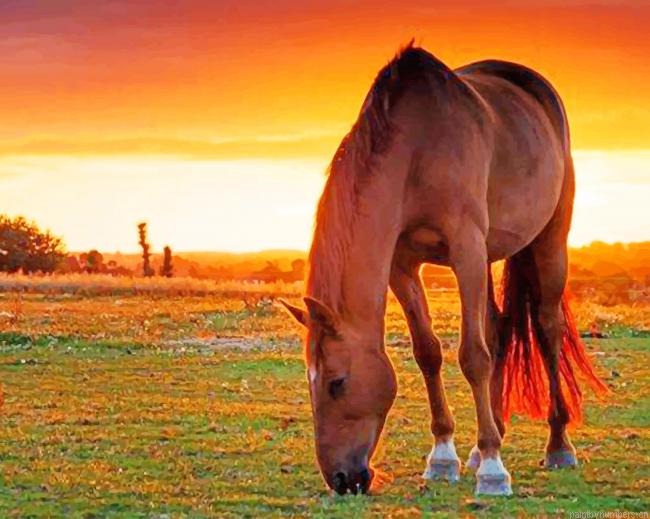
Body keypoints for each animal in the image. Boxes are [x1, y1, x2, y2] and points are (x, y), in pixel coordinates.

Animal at [280, 43, 606, 496]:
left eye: (337, 383)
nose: (342, 479)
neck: (417, 149)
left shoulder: (465, 248)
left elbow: (473, 356)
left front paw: (493, 470)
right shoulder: (403, 264)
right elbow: (428, 352)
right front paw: (444, 456)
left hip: (548, 242)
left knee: (547, 329)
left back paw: (557, 445)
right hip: (488, 256)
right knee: (497, 329)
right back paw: (488, 439)